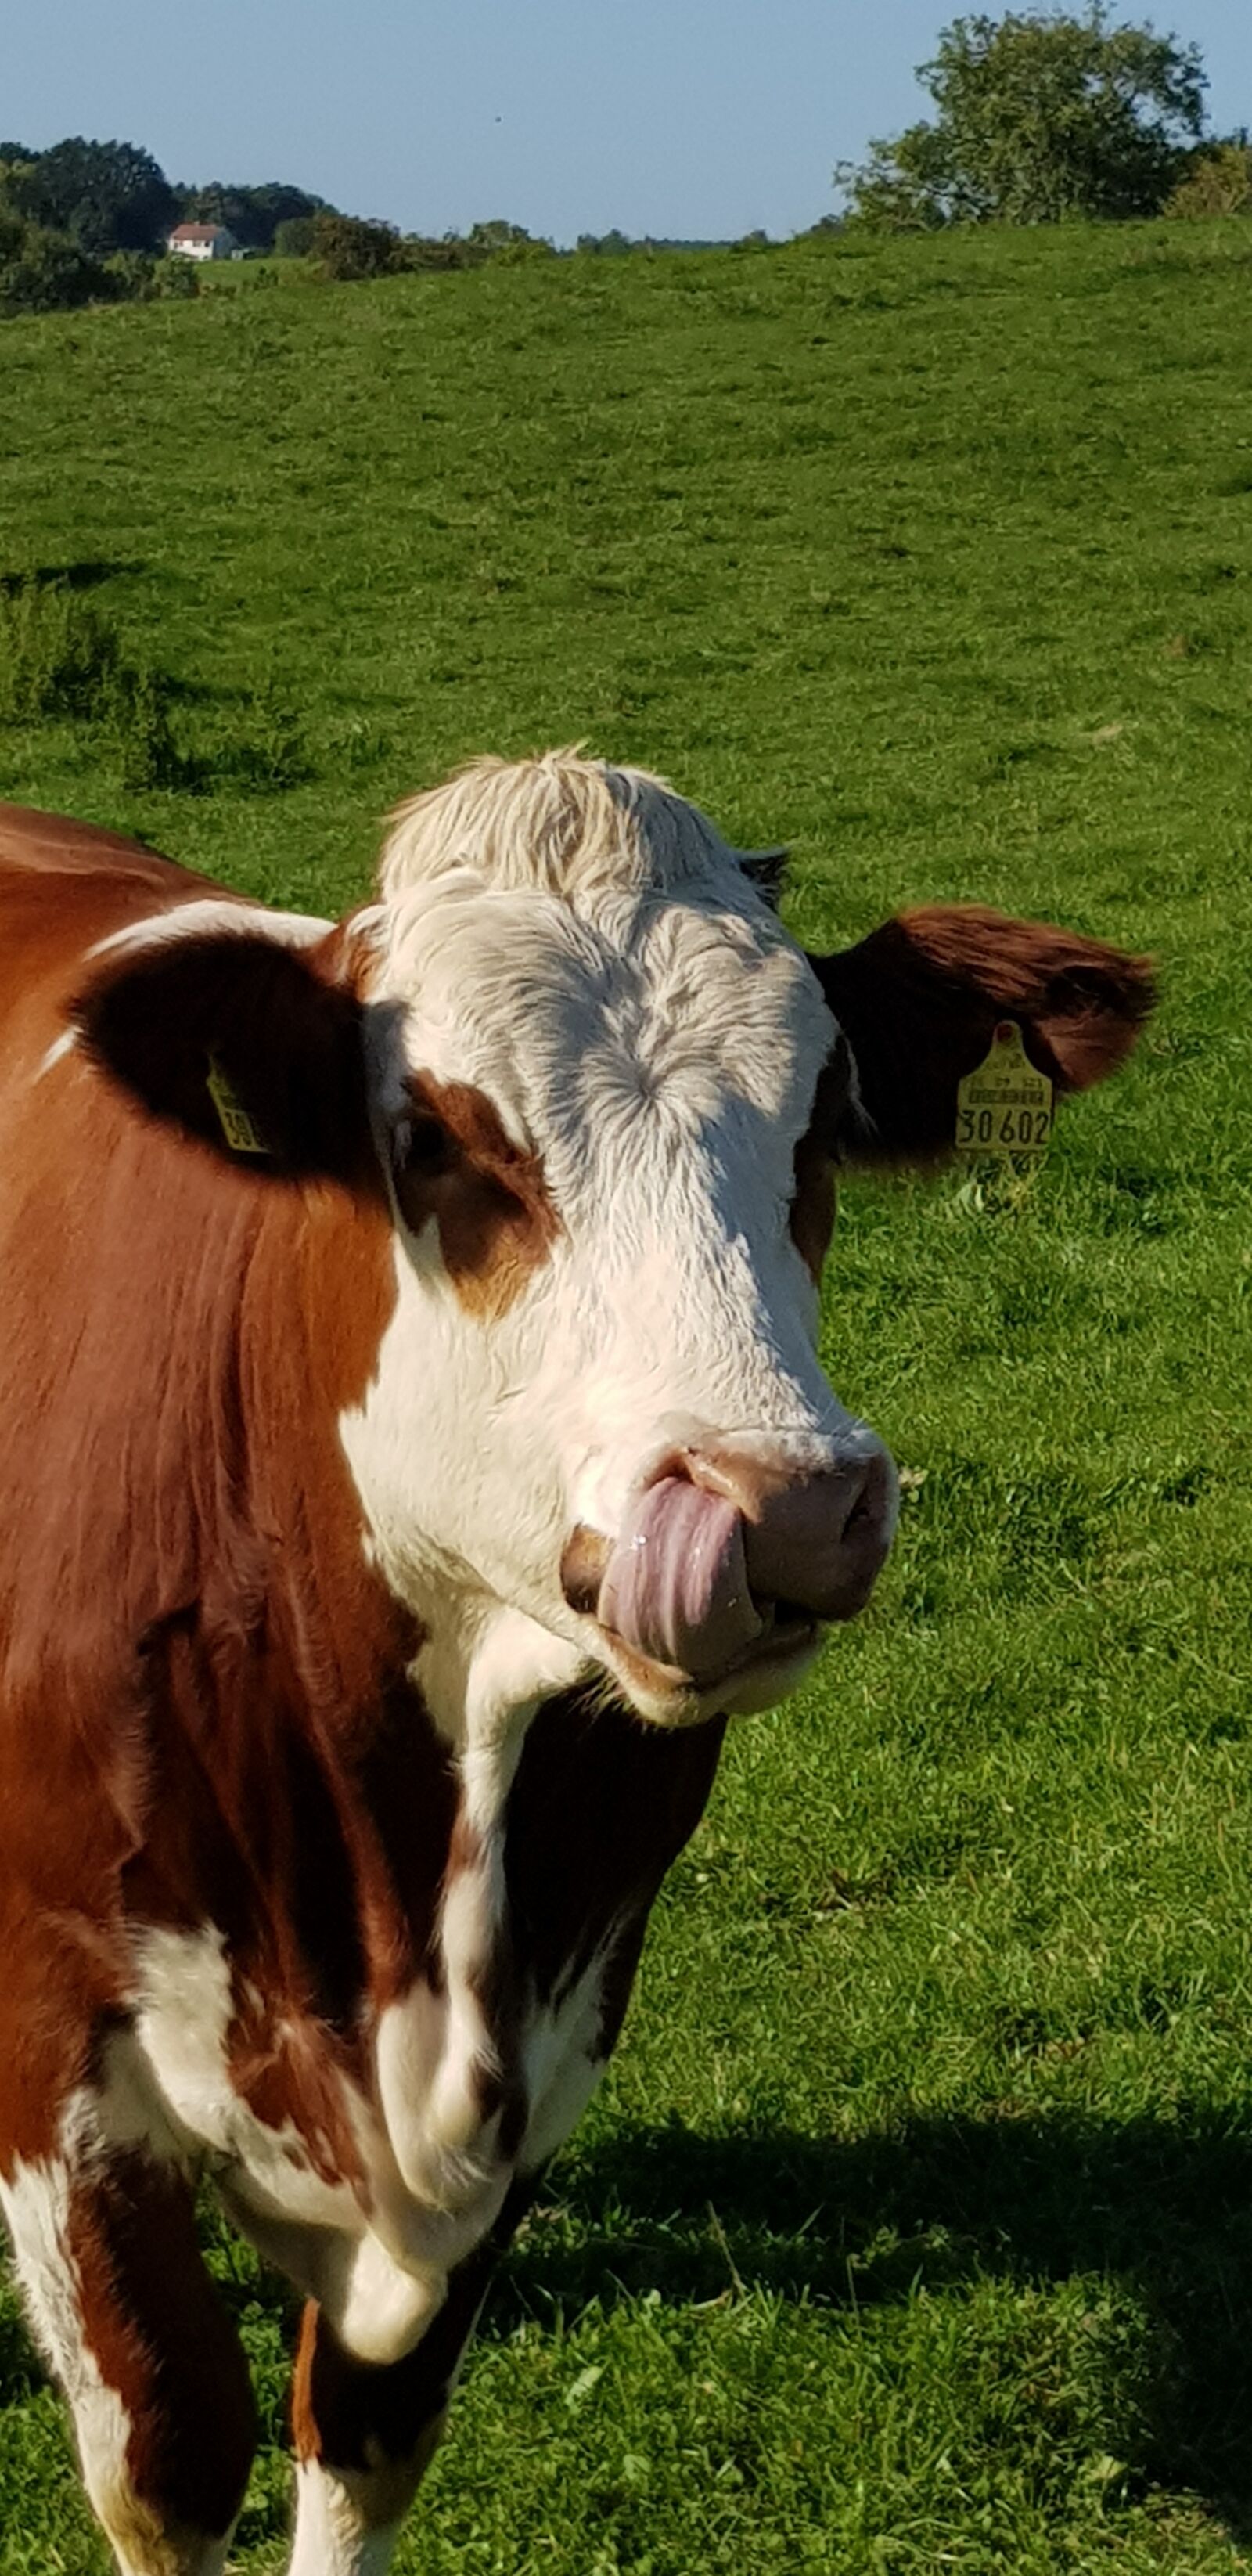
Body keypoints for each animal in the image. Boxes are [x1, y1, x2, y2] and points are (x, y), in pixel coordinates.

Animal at [0, 755, 1152, 2576]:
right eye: (434, 1136)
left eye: (820, 1120)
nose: (784, 1504)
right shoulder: (54, 2058)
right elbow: (170, 2451)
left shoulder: (550, 2036)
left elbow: (364, 2437)